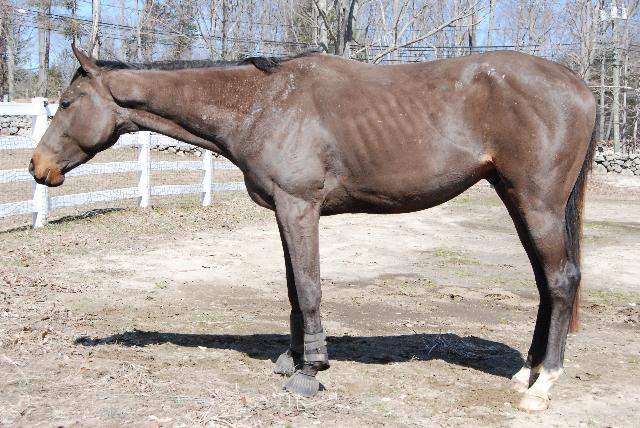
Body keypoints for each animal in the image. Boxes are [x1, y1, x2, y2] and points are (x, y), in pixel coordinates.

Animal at [30, 44, 597, 411]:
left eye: (66, 103)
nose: (37, 167)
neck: (262, 104)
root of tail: (581, 87)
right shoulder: (285, 211)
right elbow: (291, 288)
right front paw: (290, 357)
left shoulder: (299, 207)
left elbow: (308, 286)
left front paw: (310, 371)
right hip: (518, 199)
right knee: (547, 284)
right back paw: (525, 374)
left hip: (537, 203)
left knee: (561, 280)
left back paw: (543, 385)